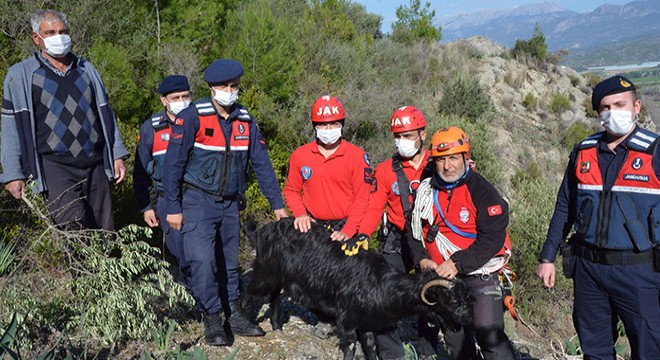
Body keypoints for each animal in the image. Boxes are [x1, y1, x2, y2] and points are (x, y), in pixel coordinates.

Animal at [245, 218, 472, 358]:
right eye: (452, 300)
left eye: (465, 298)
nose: (468, 319)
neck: (381, 284)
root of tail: (262, 231)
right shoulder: (347, 321)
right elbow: (350, 348)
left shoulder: (368, 323)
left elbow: (370, 348)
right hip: (265, 272)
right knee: (249, 294)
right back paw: (247, 325)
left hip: (278, 277)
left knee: (275, 296)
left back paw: (277, 326)